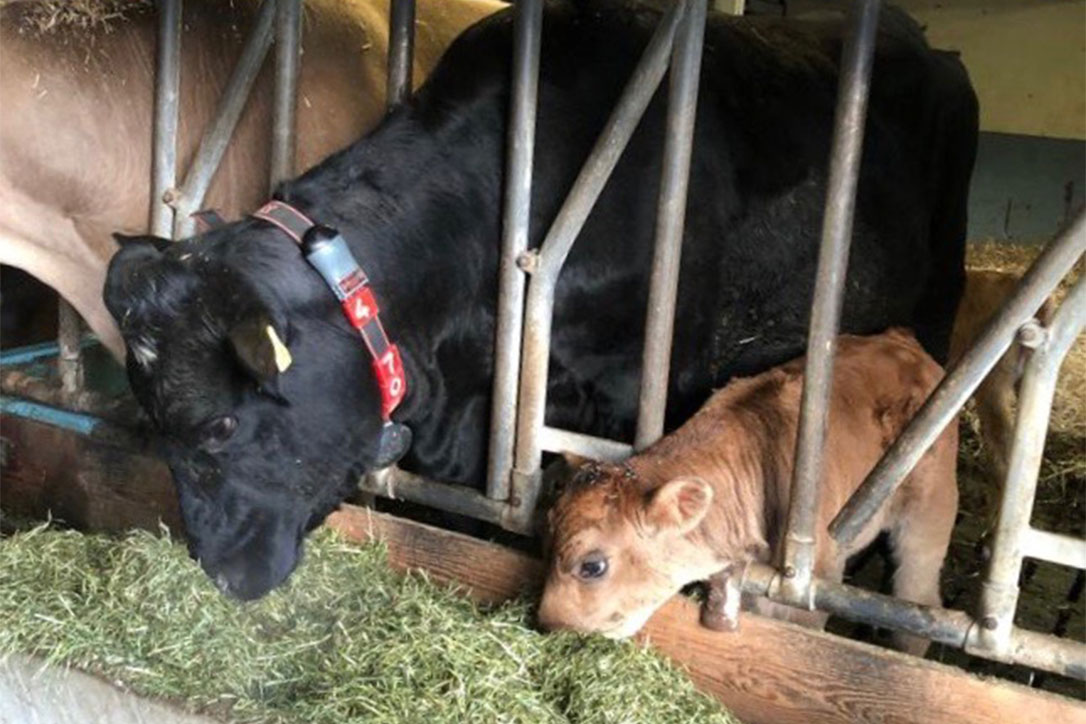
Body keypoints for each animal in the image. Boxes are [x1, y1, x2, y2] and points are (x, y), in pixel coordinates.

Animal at [536, 327, 960, 655]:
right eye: (547, 532)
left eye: (592, 566)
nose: (548, 623)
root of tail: (905, 341)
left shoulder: (812, 585)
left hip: (930, 514)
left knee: (919, 596)